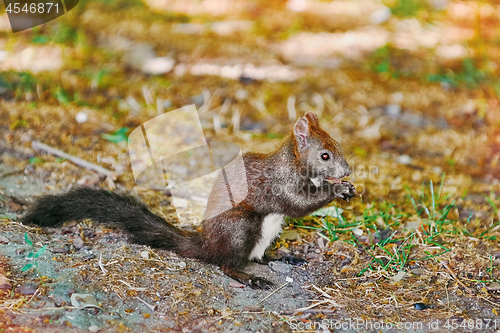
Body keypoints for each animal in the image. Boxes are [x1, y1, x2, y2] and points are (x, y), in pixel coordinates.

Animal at [22, 111, 356, 288]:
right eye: (325, 155)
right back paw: (250, 278)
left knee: (256, 256)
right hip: (241, 226)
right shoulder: (277, 185)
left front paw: (347, 187)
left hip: (267, 232)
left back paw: (283, 258)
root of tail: (206, 244)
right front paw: (336, 190)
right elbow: (298, 205)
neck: (293, 165)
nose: (347, 171)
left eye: (339, 146)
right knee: (227, 263)